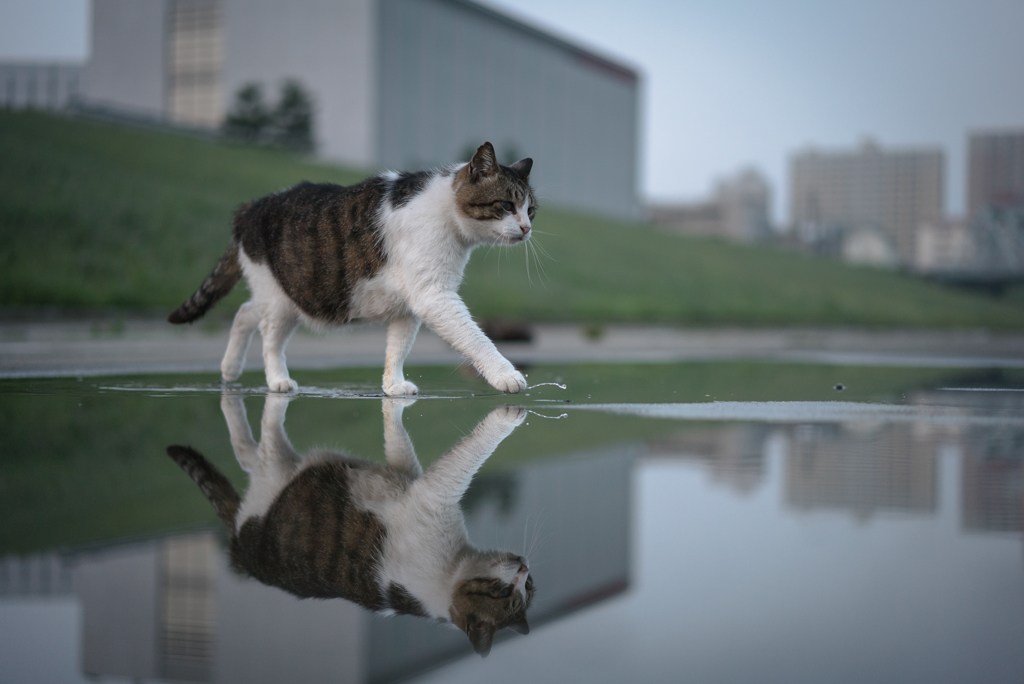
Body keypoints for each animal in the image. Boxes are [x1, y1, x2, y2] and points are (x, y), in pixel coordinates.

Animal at [165, 393, 536, 655]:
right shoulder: (432, 494)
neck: (448, 579)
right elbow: (469, 456)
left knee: (251, 449)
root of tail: (240, 553)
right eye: (505, 593)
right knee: (258, 429)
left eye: (528, 588)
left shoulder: (413, 483)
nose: (523, 566)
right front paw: (509, 413)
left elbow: (399, 442)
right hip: (274, 472)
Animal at [167, 143, 536, 395]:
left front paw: (393, 386)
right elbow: (476, 339)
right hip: (280, 299)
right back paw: (277, 380)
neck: (447, 213)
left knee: (244, 313)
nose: (526, 228)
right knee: (269, 341)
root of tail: (247, 210)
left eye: (531, 209)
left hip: (283, 297)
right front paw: (506, 375)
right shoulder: (435, 297)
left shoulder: (409, 306)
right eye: (506, 205)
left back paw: (230, 369)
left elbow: (397, 348)